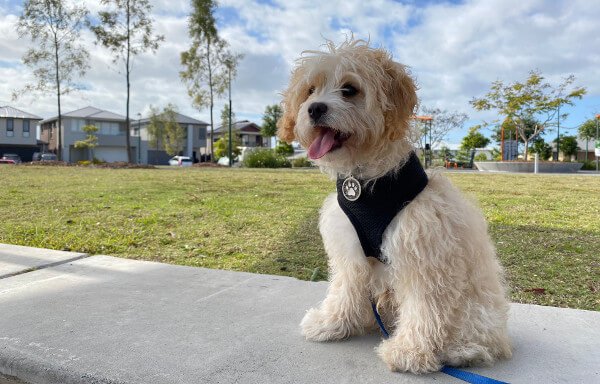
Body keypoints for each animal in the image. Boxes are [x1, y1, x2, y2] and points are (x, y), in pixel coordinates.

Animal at [276, 40, 510, 374]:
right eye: (310, 90)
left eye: (349, 89)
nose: (315, 108)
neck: (365, 183)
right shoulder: (349, 250)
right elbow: (344, 288)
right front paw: (331, 323)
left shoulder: (424, 255)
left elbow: (425, 307)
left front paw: (409, 351)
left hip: (477, 308)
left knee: (482, 337)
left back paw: (462, 348)